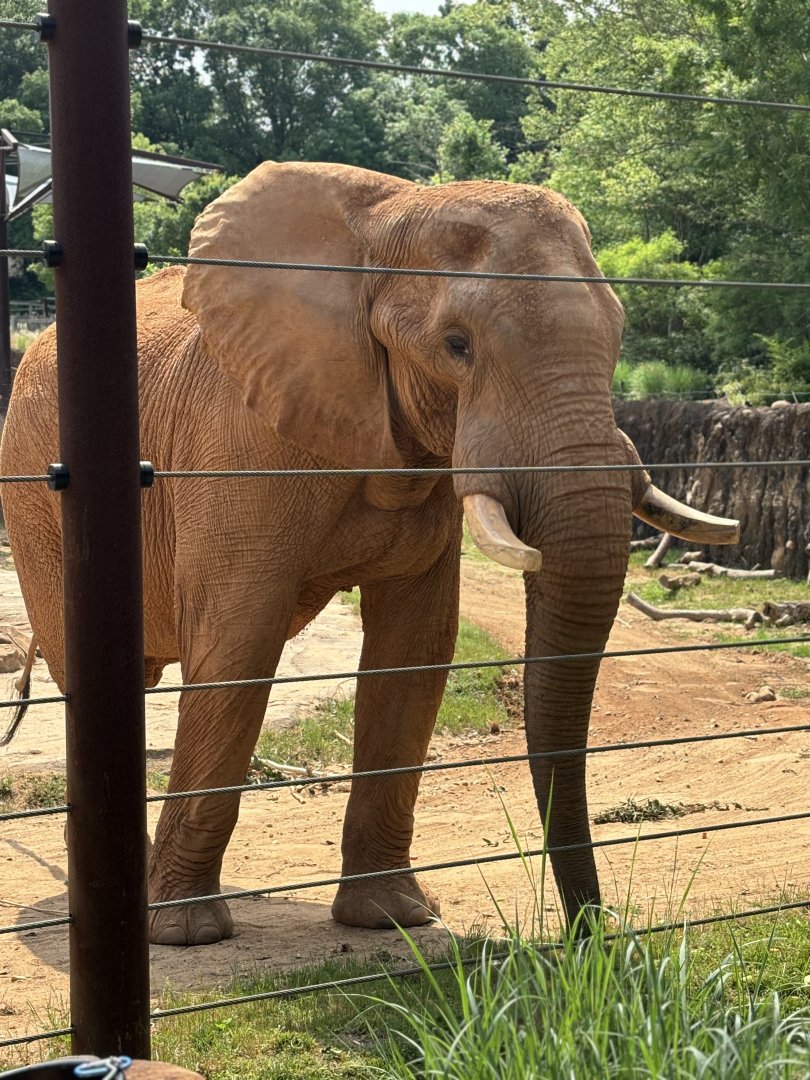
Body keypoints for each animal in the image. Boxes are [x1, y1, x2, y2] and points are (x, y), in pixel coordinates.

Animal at [0, 162, 738, 946]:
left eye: (619, 334)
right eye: (457, 345)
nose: (593, 933)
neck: (390, 220)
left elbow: (415, 649)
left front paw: (393, 919)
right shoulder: (235, 443)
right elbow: (239, 645)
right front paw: (190, 933)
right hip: (33, 493)